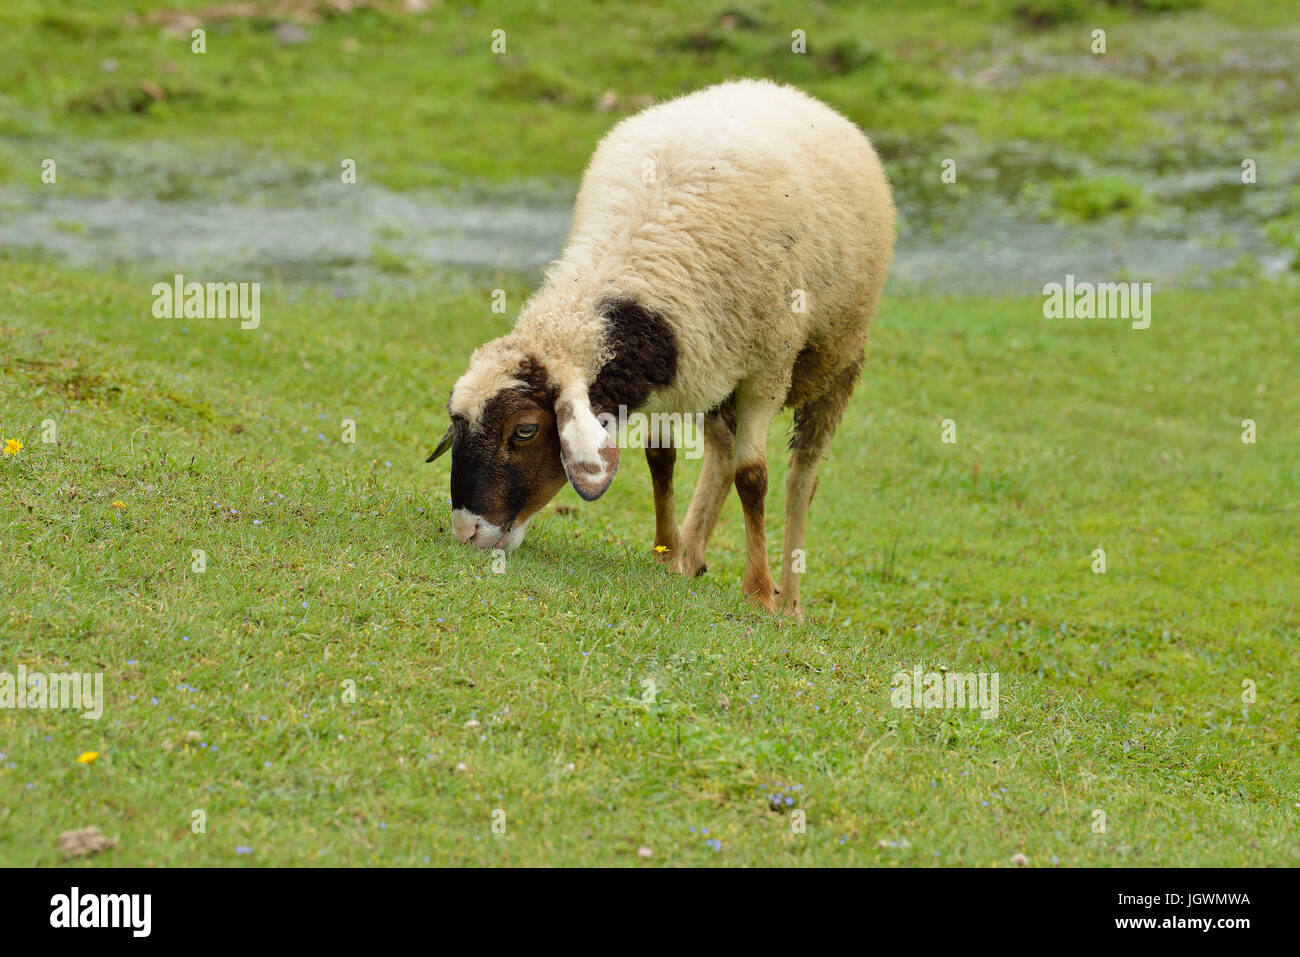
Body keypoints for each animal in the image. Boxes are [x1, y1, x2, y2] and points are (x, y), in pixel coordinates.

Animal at [426, 76, 894, 621]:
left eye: (524, 431)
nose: (468, 533)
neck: (640, 253)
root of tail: (780, 88)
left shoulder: (766, 371)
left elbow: (753, 478)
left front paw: (759, 593)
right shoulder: (682, 366)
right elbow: (661, 458)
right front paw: (667, 555)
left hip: (836, 358)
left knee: (803, 477)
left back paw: (790, 599)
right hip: (719, 366)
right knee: (720, 452)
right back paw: (692, 553)